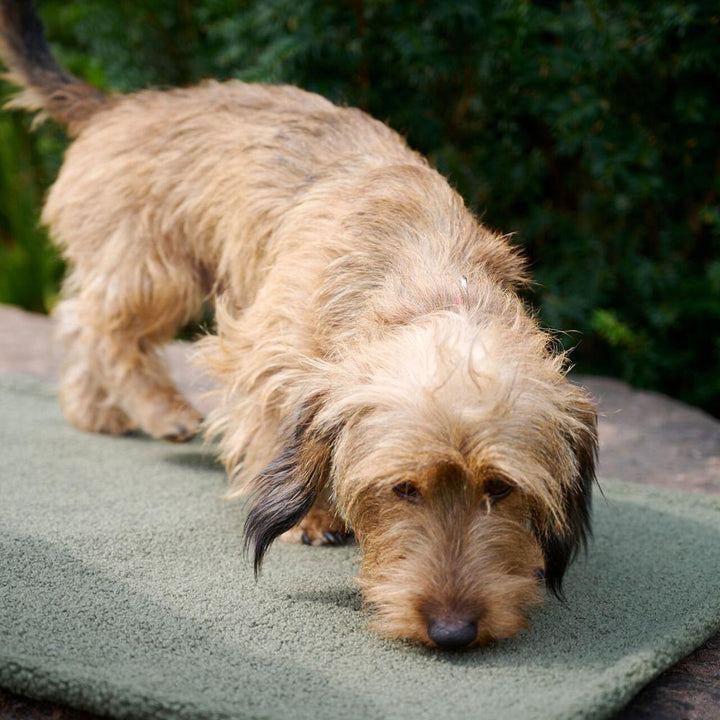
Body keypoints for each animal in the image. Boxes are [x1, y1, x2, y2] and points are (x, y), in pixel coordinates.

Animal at [0, 0, 596, 648]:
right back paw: (162, 412)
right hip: (157, 268)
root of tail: (119, 106)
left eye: (501, 489)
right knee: (101, 326)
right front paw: (308, 515)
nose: (453, 632)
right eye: (403, 488)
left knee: (78, 320)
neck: (434, 281)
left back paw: (93, 412)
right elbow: (272, 425)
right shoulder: (268, 353)